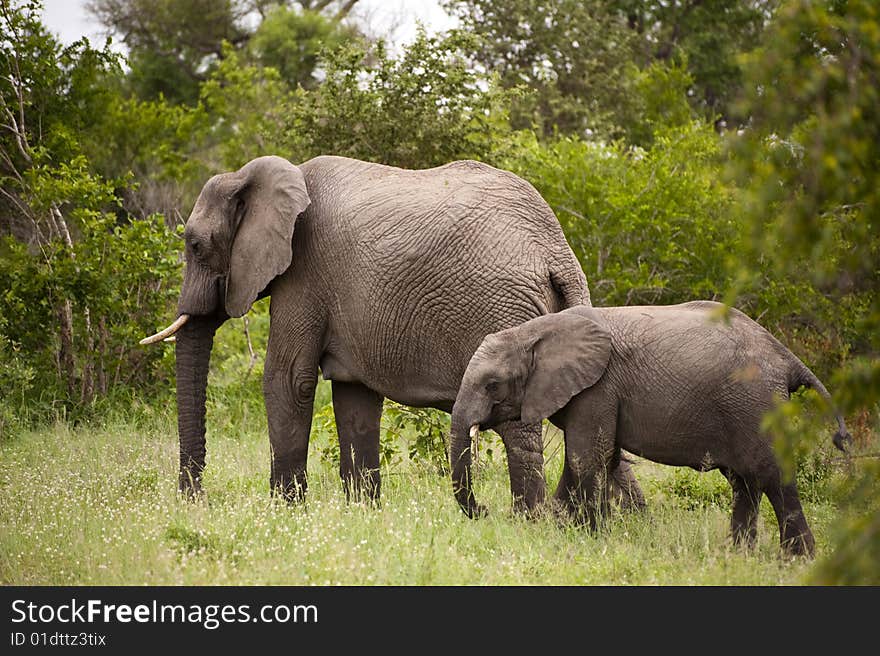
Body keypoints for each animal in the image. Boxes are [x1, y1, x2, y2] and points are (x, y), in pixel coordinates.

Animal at [141, 155, 644, 512]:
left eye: (195, 246)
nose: (194, 500)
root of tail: (556, 251)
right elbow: (354, 396)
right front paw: (363, 513)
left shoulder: (304, 274)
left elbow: (289, 379)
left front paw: (284, 514)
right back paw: (629, 520)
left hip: (506, 310)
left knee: (519, 426)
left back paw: (531, 520)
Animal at [450, 300, 848, 556]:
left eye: (492, 385)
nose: (484, 510)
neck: (534, 331)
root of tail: (787, 357)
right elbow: (596, 458)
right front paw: (562, 531)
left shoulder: (599, 388)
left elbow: (584, 458)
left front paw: (589, 538)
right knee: (745, 481)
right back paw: (737, 555)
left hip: (756, 403)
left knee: (771, 473)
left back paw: (797, 559)